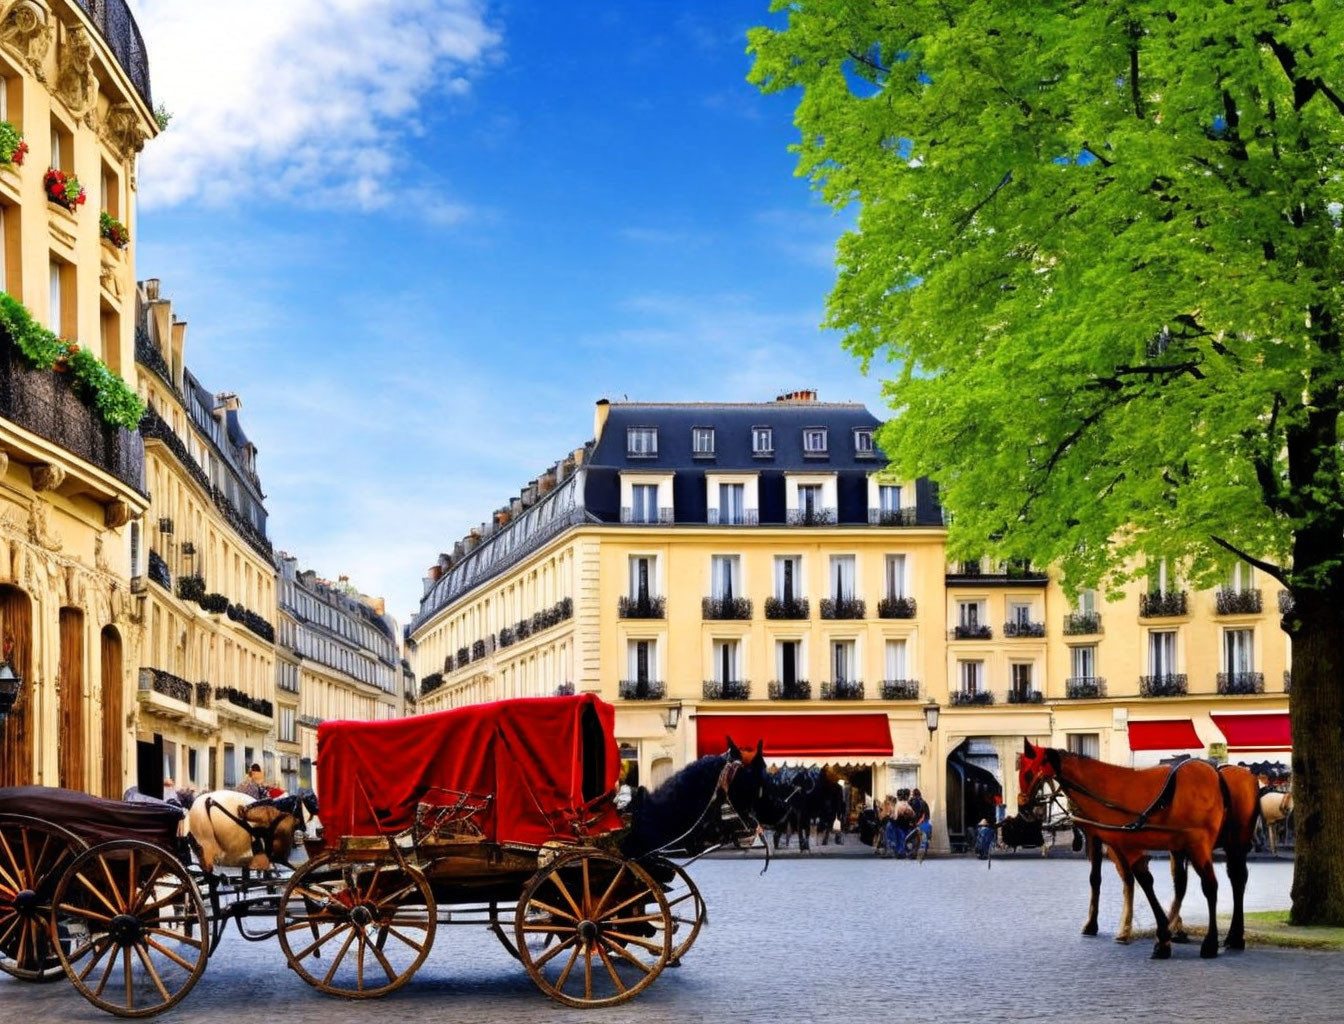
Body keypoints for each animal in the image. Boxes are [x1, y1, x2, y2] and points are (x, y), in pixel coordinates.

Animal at [1021, 736, 1231, 951]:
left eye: (1028, 774)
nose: (1023, 808)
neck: (1104, 790)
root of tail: (1214, 774)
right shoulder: (1104, 839)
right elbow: (1108, 879)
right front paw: (1115, 927)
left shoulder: (1126, 844)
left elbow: (1142, 880)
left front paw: (1156, 929)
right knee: (1181, 882)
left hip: (1196, 845)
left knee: (1207, 883)